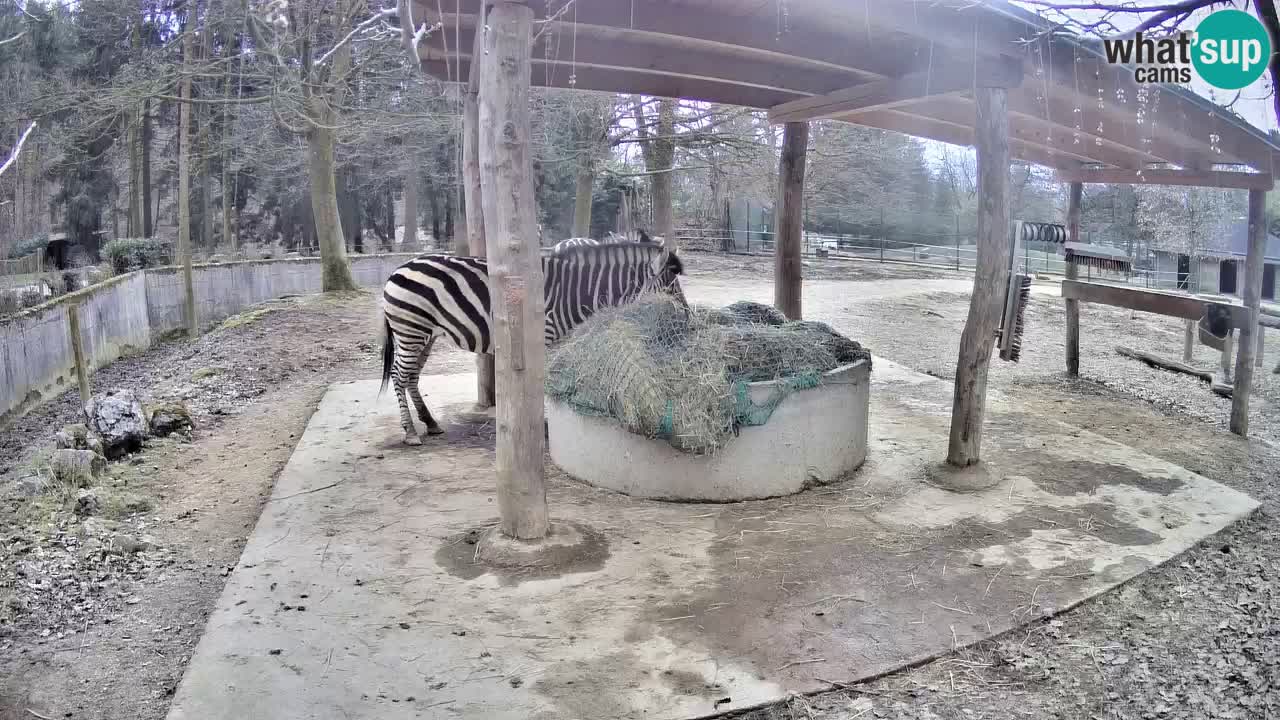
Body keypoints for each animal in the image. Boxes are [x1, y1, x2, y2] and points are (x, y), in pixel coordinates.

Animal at [376, 240, 686, 443]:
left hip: (425, 334)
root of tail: (399, 268)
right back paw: (410, 432)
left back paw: (430, 423)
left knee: (412, 376)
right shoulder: (545, 336)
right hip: (411, 329)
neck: (578, 292)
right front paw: (542, 425)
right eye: (671, 289)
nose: (684, 320)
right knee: (399, 375)